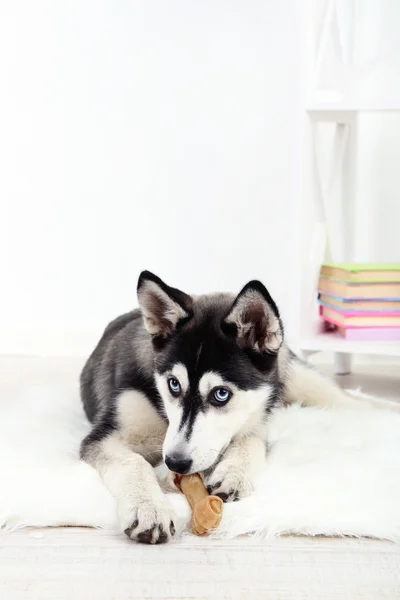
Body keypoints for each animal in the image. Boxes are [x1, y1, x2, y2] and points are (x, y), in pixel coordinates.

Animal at [80, 270, 390, 544]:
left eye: (221, 394)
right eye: (173, 384)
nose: (176, 462)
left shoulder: (258, 412)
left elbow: (251, 438)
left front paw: (234, 472)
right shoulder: (106, 435)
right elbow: (133, 462)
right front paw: (149, 508)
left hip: (299, 378)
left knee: (346, 398)